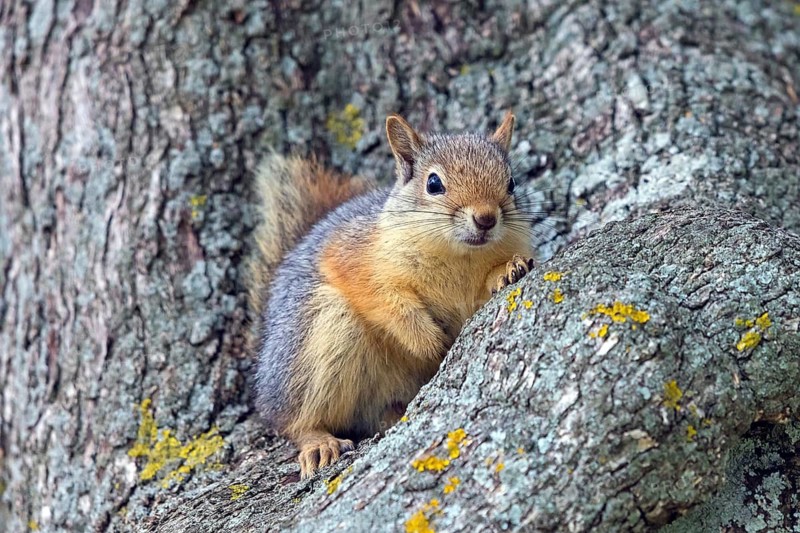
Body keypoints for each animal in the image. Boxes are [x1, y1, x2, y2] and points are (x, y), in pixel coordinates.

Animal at [248, 113, 536, 478]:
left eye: (511, 182)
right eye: (433, 183)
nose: (486, 218)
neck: (461, 257)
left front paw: (509, 269)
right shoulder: (351, 252)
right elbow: (387, 300)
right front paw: (428, 341)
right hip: (316, 336)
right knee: (291, 419)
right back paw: (317, 441)